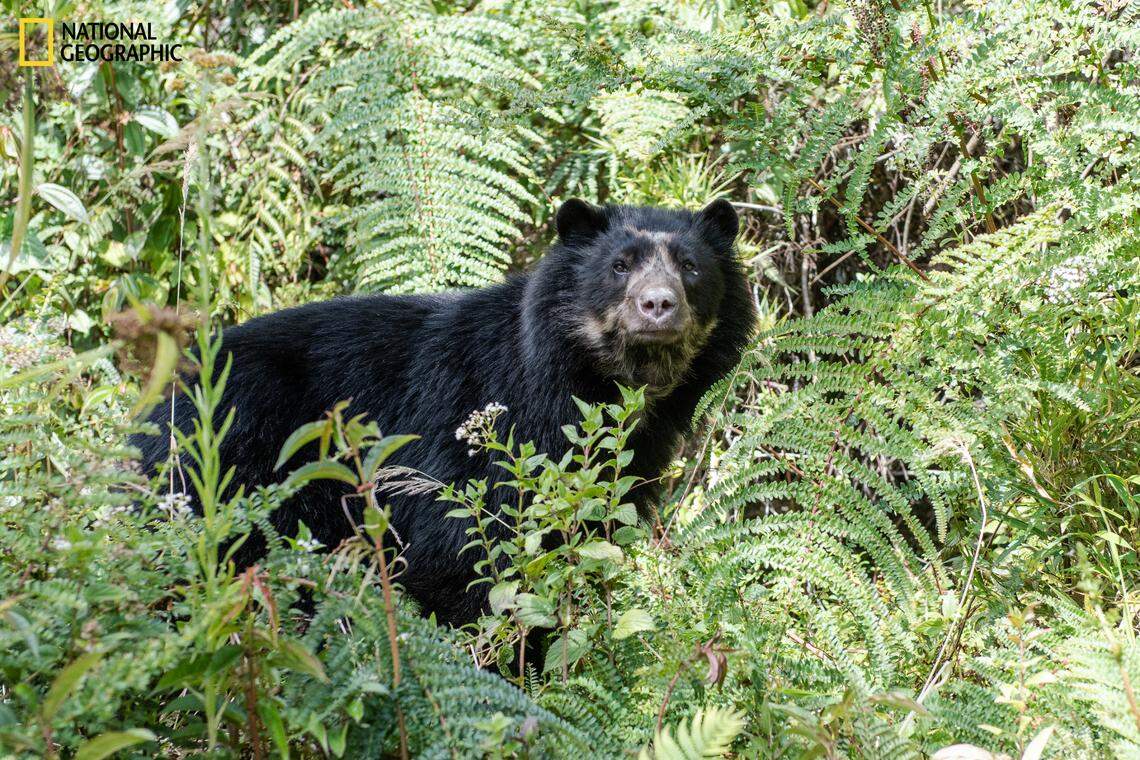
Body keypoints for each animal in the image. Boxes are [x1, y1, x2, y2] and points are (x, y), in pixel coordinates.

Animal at [133, 199, 756, 627]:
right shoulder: (487, 432)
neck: (598, 384)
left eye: (691, 267)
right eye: (620, 266)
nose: (659, 306)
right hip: (234, 471)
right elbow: (462, 555)